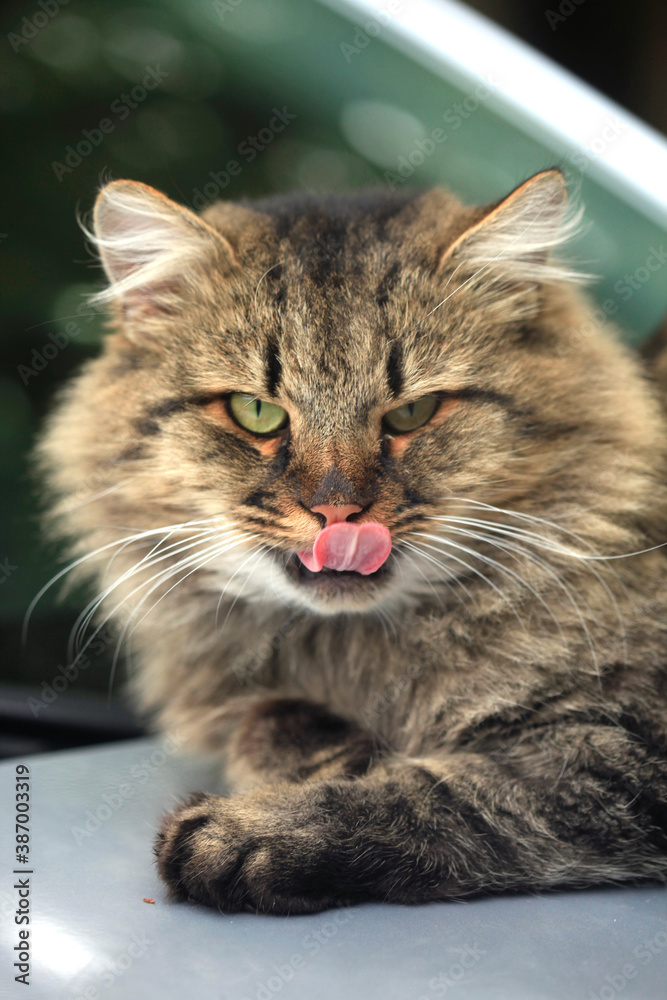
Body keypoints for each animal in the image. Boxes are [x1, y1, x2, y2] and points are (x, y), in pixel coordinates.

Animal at [36, 170, 667, 916]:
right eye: (256, 412)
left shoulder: (622, 749)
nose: (338, 512)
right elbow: (268, 718)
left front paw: (247, 833)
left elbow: (450, 794)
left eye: (413, 413)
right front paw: (325, 753)